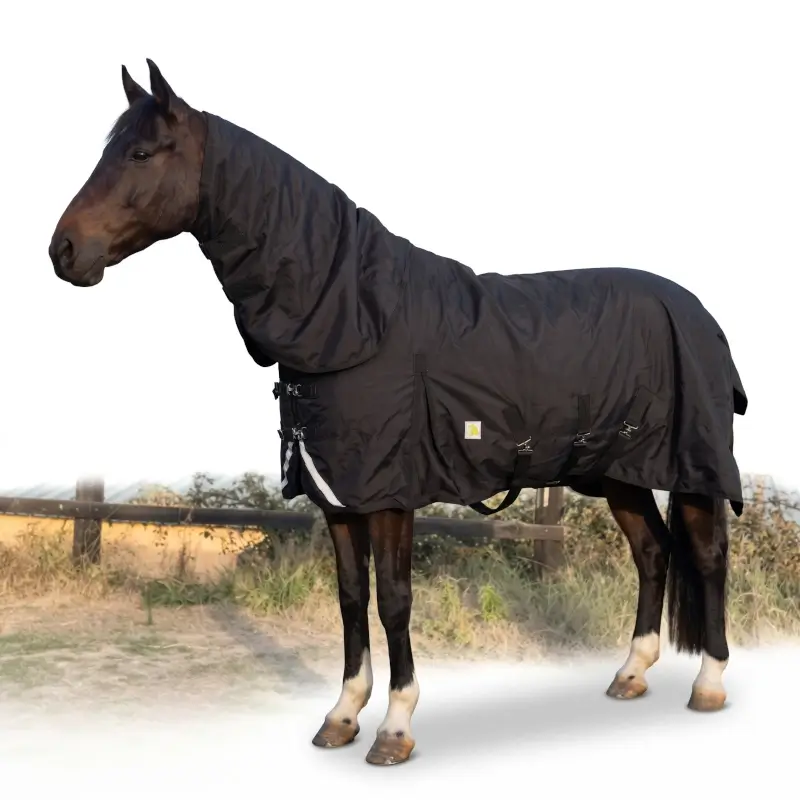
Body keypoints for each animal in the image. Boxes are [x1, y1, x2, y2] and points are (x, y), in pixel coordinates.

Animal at [49, 59, 748, 767]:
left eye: (140, 153)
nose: (64, 251)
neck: (354, 314)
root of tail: (697, 311)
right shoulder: (336, 491)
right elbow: (351, 598)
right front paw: (341, 715)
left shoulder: (388, 493)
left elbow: (392, 599)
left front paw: (395, 727)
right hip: (618, 471)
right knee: (653, 553)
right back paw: (631, 674)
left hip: (691, 466)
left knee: (707, 557)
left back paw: (709, 684)